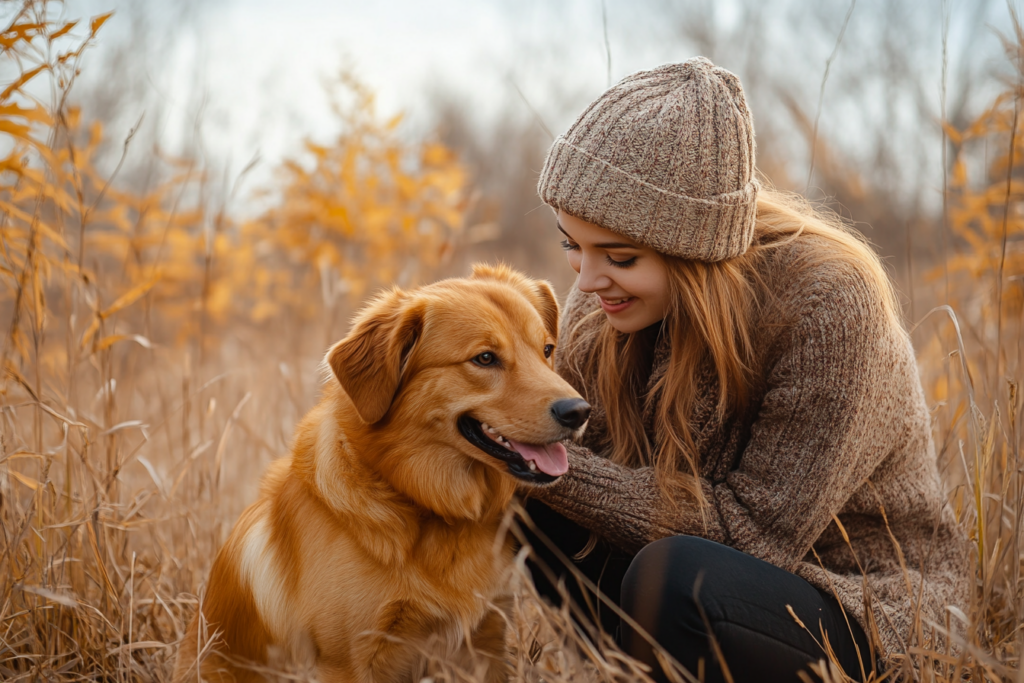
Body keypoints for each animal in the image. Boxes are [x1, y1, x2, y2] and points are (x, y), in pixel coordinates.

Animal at [174, 266, 593, 683]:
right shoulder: (348, 661)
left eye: (547, 350)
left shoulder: (486, 642)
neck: (426, 504)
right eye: (485, 358)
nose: (577, 411)